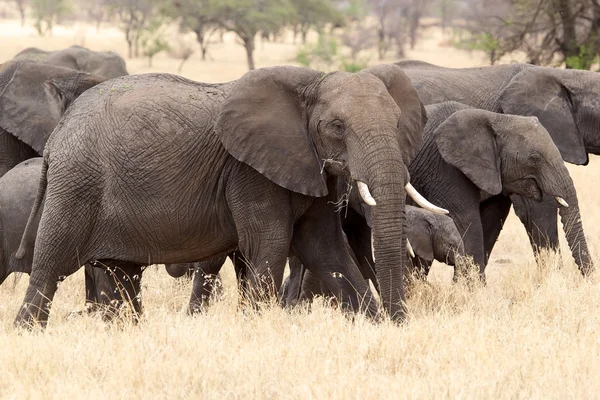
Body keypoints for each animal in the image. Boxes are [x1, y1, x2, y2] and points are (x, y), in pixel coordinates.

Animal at [16, 65, 442, 328]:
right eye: (336, 127)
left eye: (398, 123)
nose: (400, 320)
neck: (310, 84)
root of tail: (57, 135)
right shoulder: (249, 172)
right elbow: (271, 244)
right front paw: (257, 329)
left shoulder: (309, 166)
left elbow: (326, 249)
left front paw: (374, 326)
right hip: (76, 184)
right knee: (49, 268)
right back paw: (28, 332)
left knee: (122, 274)